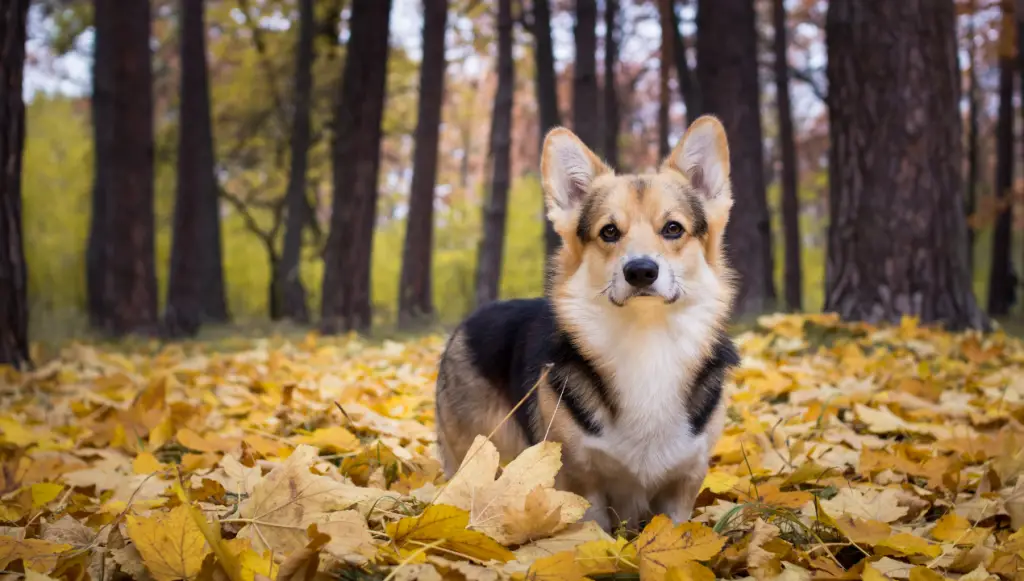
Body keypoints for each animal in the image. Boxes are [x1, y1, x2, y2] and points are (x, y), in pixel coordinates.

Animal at [436, 114, 741, 532]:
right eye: (609, 231)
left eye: (673, 228)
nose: (640, 270)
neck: (647, 341)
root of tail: (469, 319)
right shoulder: (581, 481)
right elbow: (592, 531)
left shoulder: (683, 483)